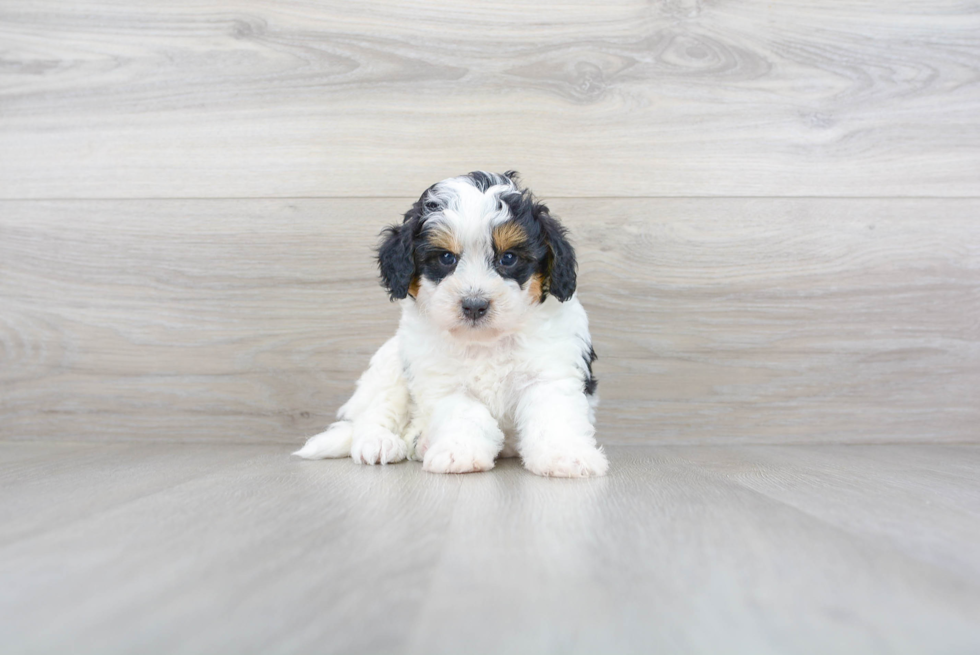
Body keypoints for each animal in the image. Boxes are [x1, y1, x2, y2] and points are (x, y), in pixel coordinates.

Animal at [294, 169, 608, 476]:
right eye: (446, 257)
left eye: (508, 258)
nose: (474, 305)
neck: (485, 341)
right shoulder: (444, 382)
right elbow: (465, 413)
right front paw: (461, 453)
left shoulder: (550, 372)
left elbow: (553, 414)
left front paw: (564, 456)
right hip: (389, 365)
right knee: (376, 411)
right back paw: (379, 442)